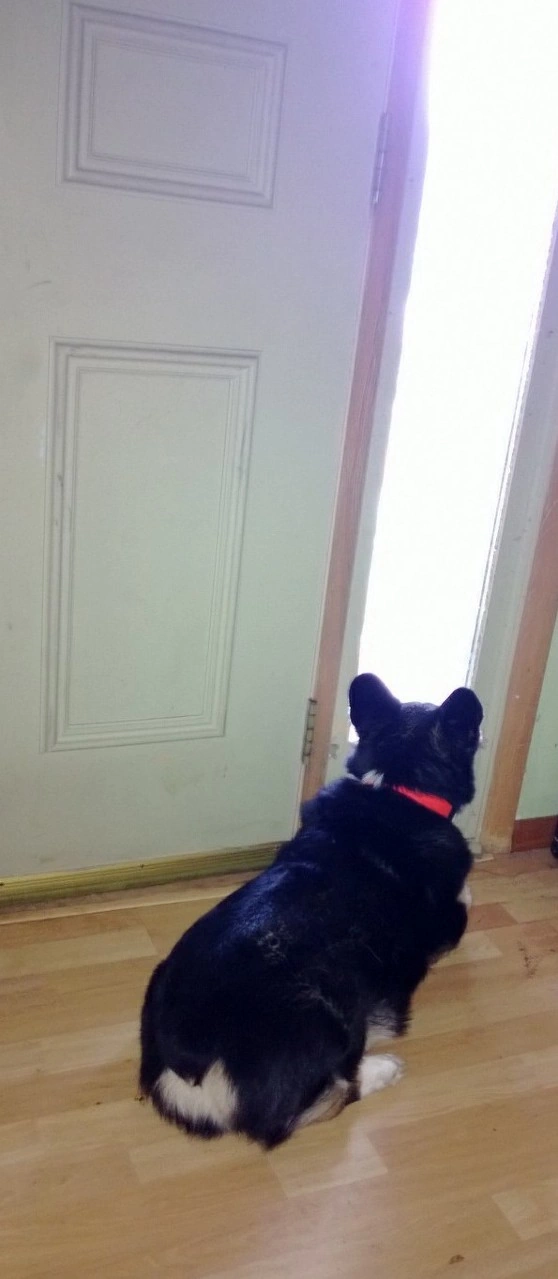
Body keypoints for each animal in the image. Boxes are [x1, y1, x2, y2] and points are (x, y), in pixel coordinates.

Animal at [140, 680, 483, 1151]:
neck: (395, 785)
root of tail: (190, 1060)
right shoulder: (449, 925)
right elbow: (466, 900)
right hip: (327, 1011)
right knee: (321, 1101)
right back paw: (384, 1068)